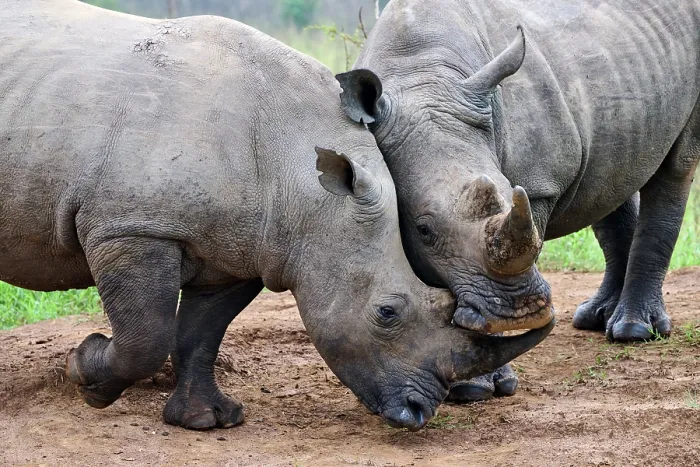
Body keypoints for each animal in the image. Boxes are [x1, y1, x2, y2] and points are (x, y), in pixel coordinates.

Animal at [0, 0, 554, 431]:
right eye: (386, 313)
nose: (420, 412)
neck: (303, 183)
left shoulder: (244, 245)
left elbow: (200, 332)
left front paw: (206, 421)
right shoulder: (131, 227)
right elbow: (148, 335)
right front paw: (85, 375)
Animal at [338, 0, 700, 399]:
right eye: (423, 229)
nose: (514, 313)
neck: (420, 76)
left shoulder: (539, 185)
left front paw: (476, 386)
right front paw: (469, 382)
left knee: (675, 167)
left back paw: (634, 332)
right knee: (611, 180)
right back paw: (594, 318)